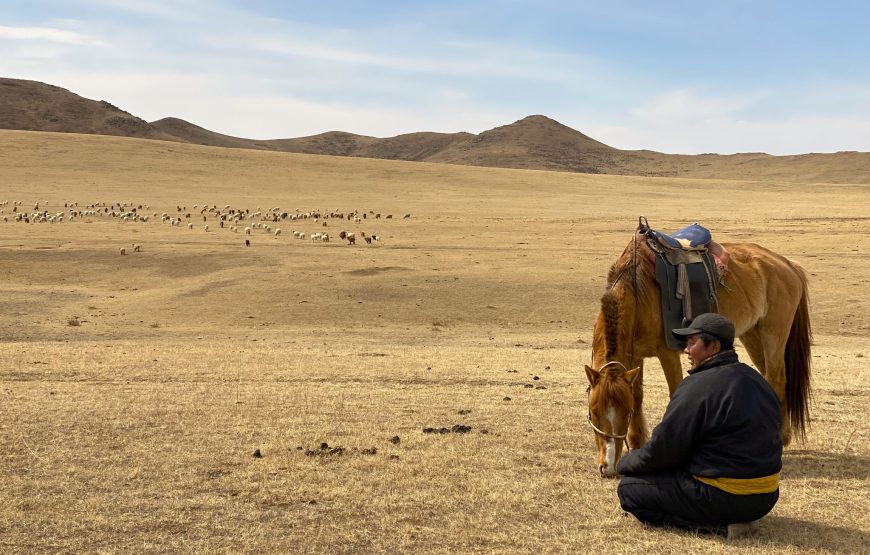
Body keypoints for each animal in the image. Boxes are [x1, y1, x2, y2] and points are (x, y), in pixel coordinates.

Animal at [584, 225, 816, 478]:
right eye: (593, 413)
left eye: (623, 414)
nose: (608, 468)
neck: (639, 291)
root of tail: (787, 264)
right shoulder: (636, 355)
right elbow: (637, 396)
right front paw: (637, 444)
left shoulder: (667, 353)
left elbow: (674, 392)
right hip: (752, 335)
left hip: (773, 335)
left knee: (777, 379)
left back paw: (781, 438)